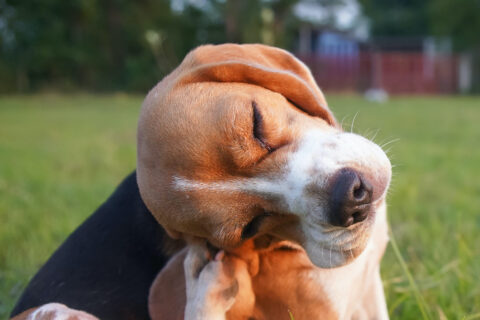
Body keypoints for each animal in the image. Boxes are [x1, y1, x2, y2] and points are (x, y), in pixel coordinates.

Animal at [9, 43, 390, 318]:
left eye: (255, 123)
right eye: (251, 227)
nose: (350, 199)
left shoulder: (370, 293)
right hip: (55, 311)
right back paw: (205, 284)